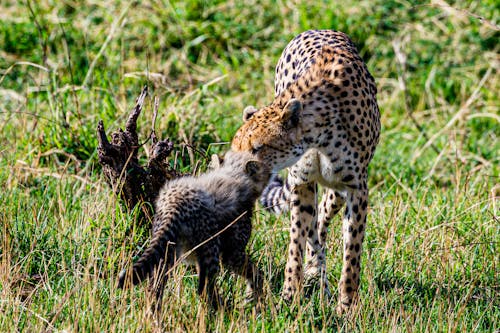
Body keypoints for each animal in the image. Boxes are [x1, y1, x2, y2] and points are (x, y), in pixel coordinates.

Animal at [232, 28, 380, 312]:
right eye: (237, 147)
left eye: (257, 148)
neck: (317, 135)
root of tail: (320, 29)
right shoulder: (301, 184)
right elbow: (296, 242)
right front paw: (290, 295)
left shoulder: (357, 189)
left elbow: (352, 250)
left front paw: (347, 305)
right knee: (314, 228)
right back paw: (315, 273)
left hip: (338, 190)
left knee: (324, 214)